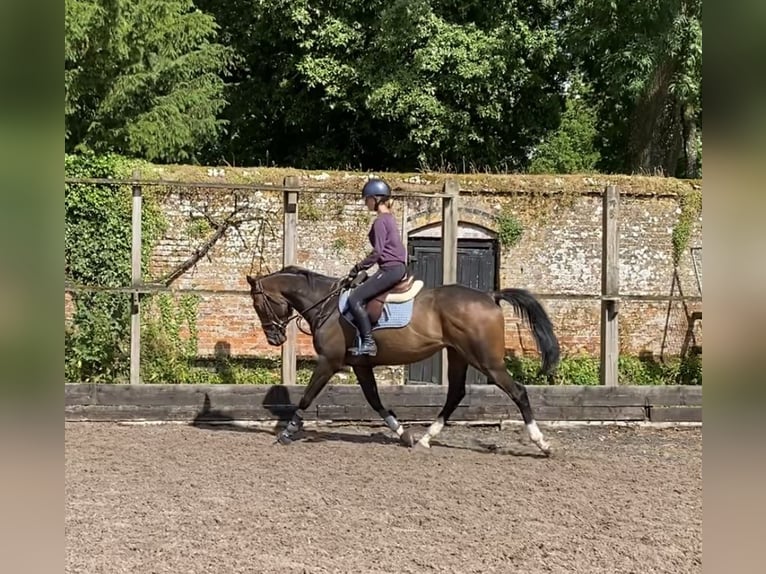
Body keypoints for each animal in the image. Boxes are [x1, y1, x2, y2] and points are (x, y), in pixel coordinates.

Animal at [248, 266, 564, 460]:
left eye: (258, 304)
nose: (274, 338)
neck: (325, 305)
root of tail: (489, 295)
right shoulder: (361, 366)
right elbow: (375, 401)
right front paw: (403, 434)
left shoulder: (329, 362)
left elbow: (307, 397)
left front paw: (287, 432)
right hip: (459, 354)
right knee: (456, 393)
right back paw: (425, 438)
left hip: (487, 361)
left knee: (518, 392)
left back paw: (543, 444)